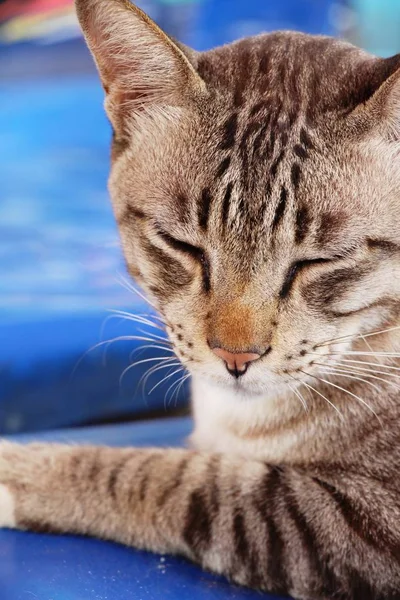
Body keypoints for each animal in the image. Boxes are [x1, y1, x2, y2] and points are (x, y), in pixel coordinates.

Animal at [0, 0, 400, 596]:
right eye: (181, 244)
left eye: (321, 261)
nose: (235, 357)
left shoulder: (354, 522)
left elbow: (166, 477)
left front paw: (21, 469)